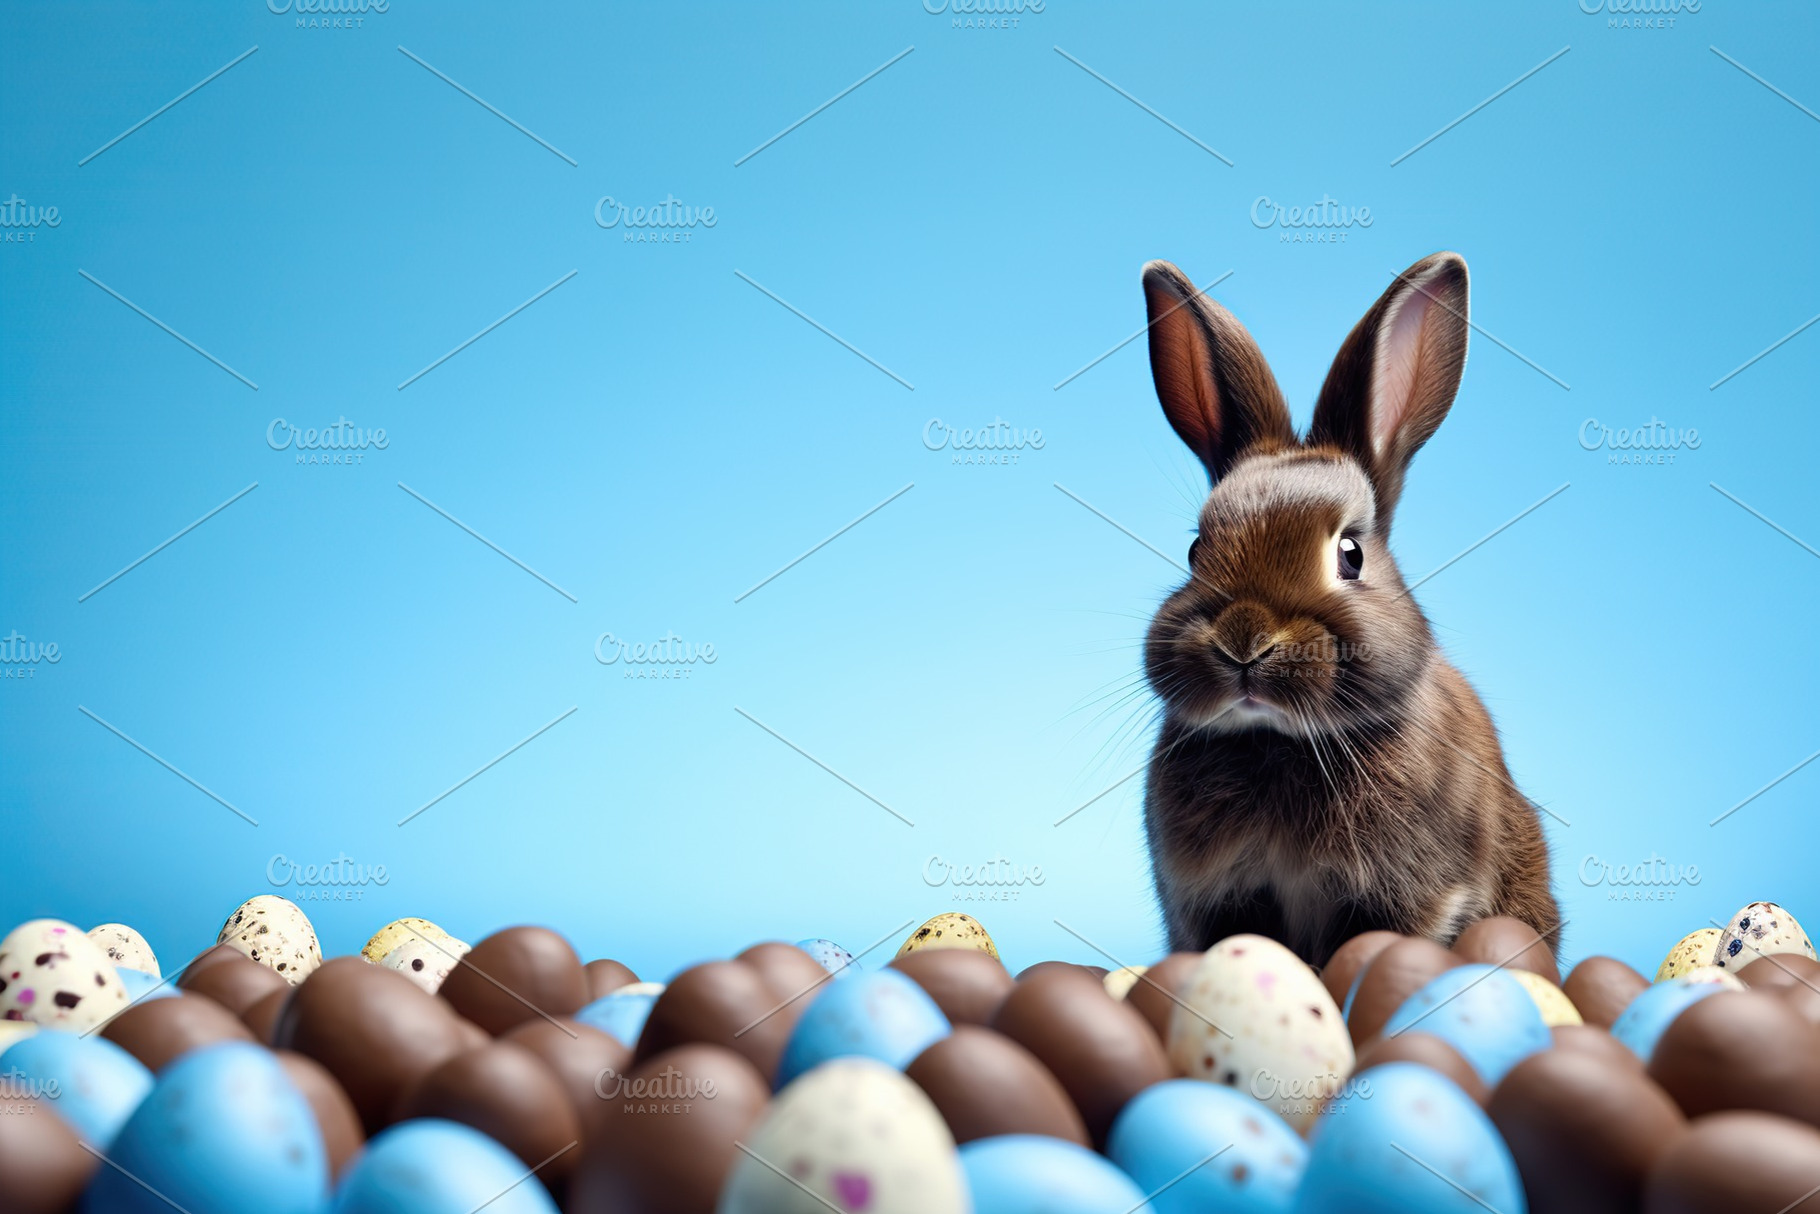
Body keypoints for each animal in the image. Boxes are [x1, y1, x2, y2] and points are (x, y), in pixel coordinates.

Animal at [1137, 251, 1560, 969]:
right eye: (1195, 550)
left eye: (1351, 554)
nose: (1244, 640)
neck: (1281, 742)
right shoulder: (1216, 900)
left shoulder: (1409, 894)